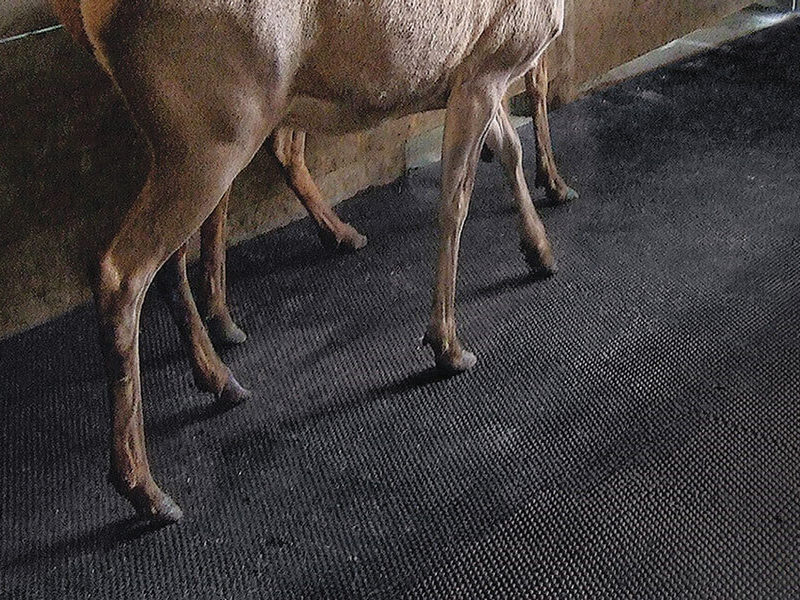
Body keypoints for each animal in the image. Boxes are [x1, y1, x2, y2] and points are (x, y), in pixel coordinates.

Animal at [48, 0, 574, 523]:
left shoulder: (479, 77)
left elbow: (509, 149)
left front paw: (541, 249)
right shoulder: (486, 67)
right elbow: (456, 202)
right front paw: (447, 344)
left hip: (189, 139)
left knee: (168, 259)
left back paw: (219, 377)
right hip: (215, 129)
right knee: (121, 271)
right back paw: (146, 489)